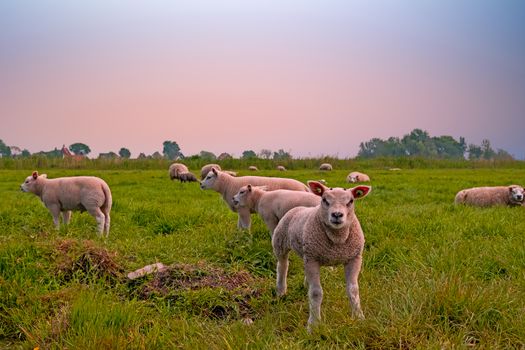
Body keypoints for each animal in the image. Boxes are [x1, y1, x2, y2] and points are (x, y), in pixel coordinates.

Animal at [272, 180, 370, 330]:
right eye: (324, 200)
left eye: (351, 201)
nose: (337, 215)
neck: (337, 240)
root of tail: (297, 208)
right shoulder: (313, 259)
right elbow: (316, 293)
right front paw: (314, 324)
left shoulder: (354, 258)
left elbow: (353, 290)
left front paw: (359, 317)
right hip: (280, 243)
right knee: (282, 266)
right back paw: (281, 291)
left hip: (307, 253)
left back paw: (305, 284)